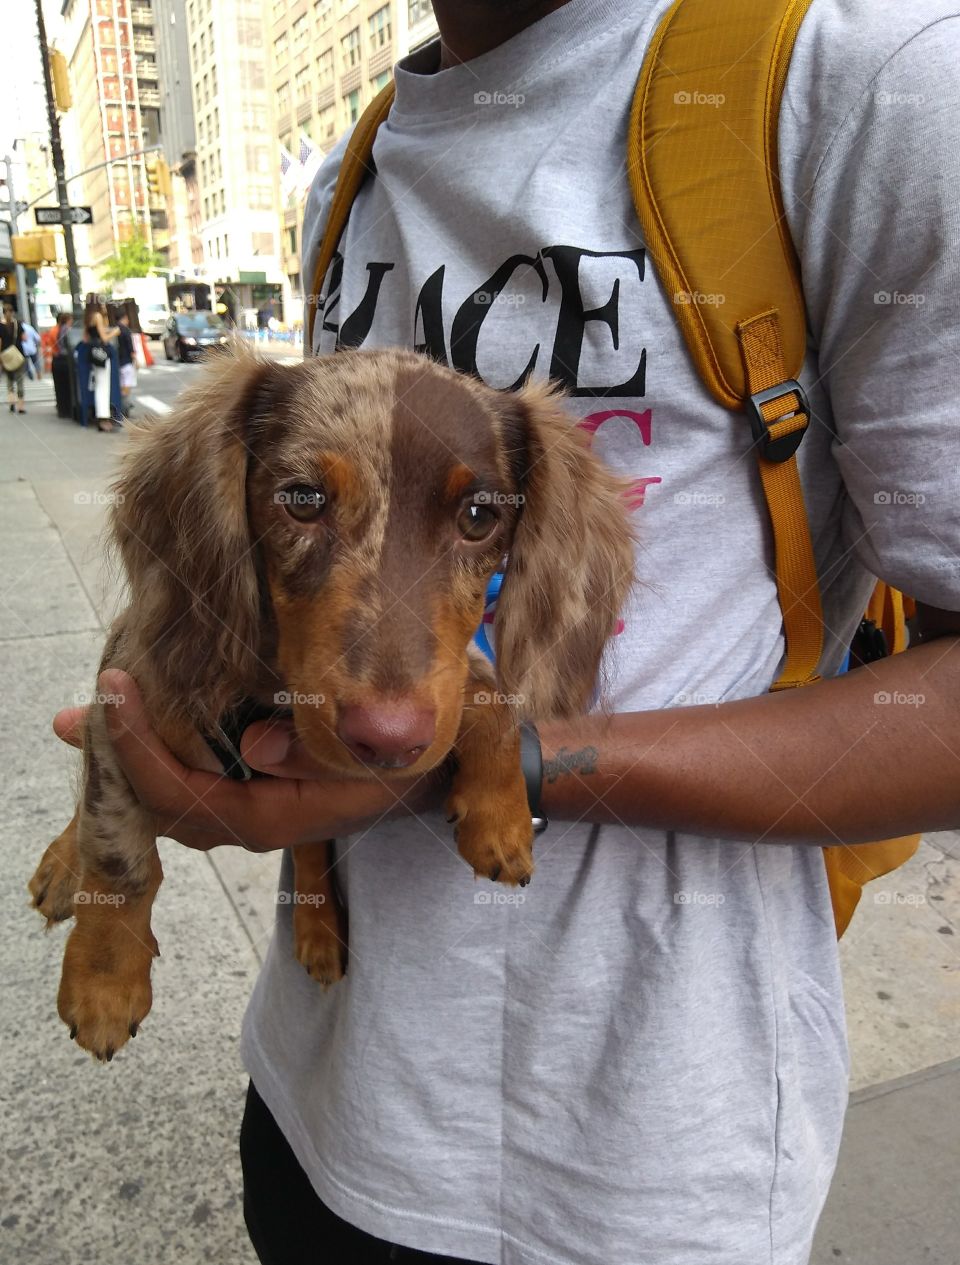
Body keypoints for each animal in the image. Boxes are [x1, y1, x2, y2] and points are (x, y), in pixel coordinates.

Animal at [30, 346, 634, 1057]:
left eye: (479, 518)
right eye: (302, 500)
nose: (388, 739)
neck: (269, 694)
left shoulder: (446, 682)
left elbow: (482, 692)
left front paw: (501, 810)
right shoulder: (121, 698)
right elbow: (117, 850)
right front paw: (104, 979)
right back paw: (61, 868)